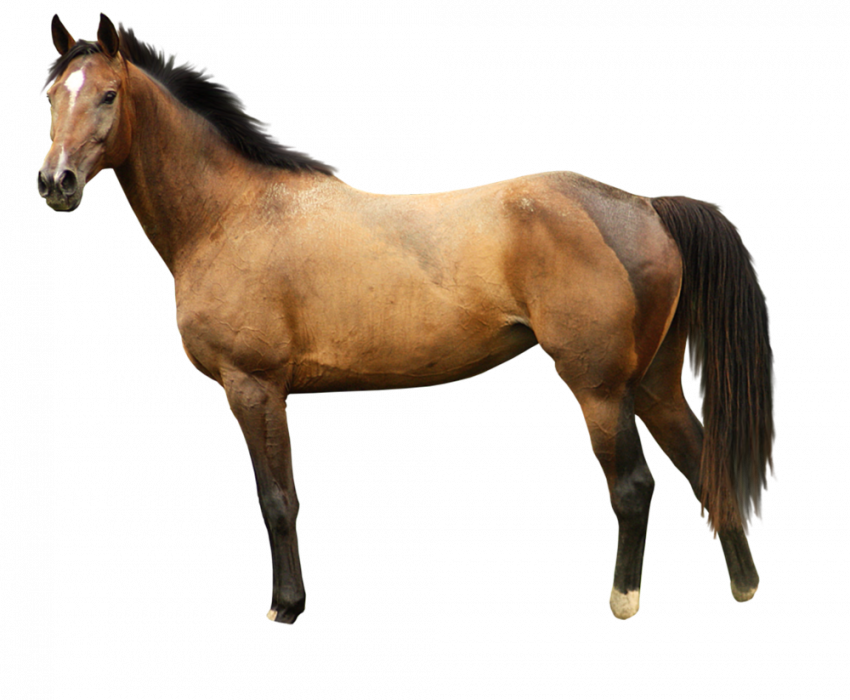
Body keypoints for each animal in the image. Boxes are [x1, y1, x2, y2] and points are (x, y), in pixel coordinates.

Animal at [38, 12, 777, 625]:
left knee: (634, 485)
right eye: (51, 95)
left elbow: (277, 499)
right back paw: (743, 585)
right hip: (653, 381)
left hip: (600, 387)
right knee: (702, 462)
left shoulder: (255, 386)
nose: (56, 182)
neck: (234, 213)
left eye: (108, 95)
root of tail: (646, 207)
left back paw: (624, 599)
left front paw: (287, 607)